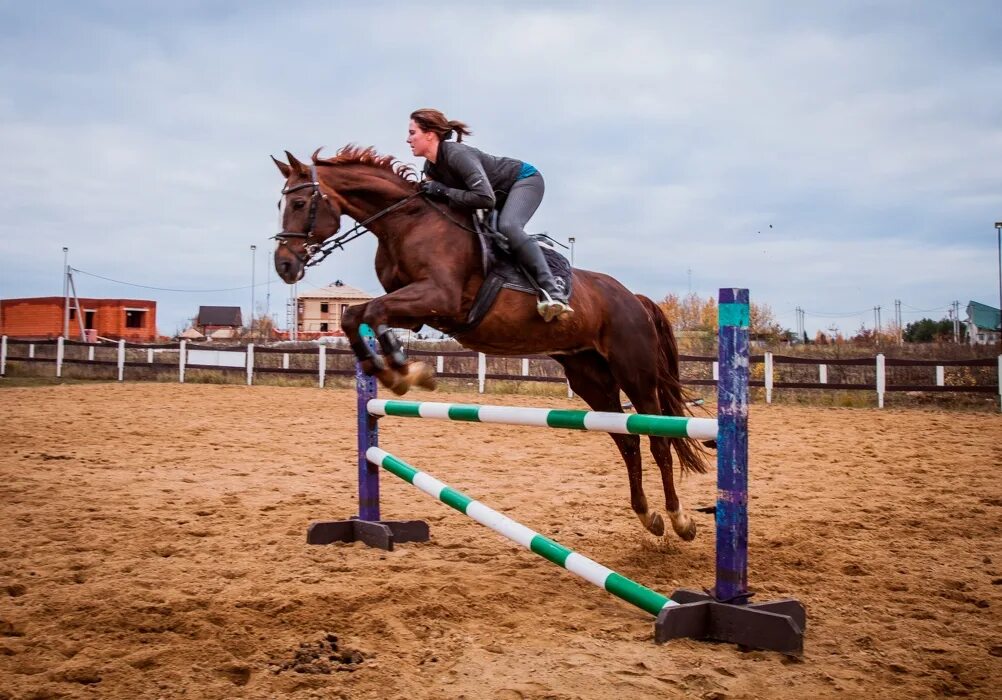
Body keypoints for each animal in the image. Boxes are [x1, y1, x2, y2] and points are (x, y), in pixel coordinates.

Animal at [272, 146, 713, 540]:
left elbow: (371, 312)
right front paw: (396, 371)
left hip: (634, 372)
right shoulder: (418, 311)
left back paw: (678, 519)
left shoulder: (438, 297)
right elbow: (357, 316)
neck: (407, 223)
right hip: (590, 376)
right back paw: (647, 516)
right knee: (627, 440)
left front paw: (402, 371)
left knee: (658, 439)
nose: (284, 265)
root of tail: (633, 297)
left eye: (299, 202)